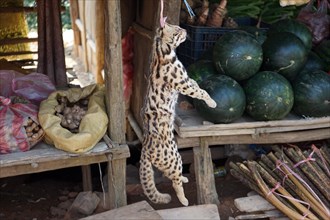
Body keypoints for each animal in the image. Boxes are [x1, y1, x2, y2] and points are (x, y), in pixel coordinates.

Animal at [139, 21, 217, 206]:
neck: (163, 52)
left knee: (170, 175)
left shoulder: (186, 80)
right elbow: (201, 92)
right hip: (175, 158)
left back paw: (184, 179)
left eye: (176, 26)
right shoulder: (182, 84)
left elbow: (196, 83)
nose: (186, 30)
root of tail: (144, 148)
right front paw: (212, 102)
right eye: (176, 31)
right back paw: (184, 200)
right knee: (174, 181)